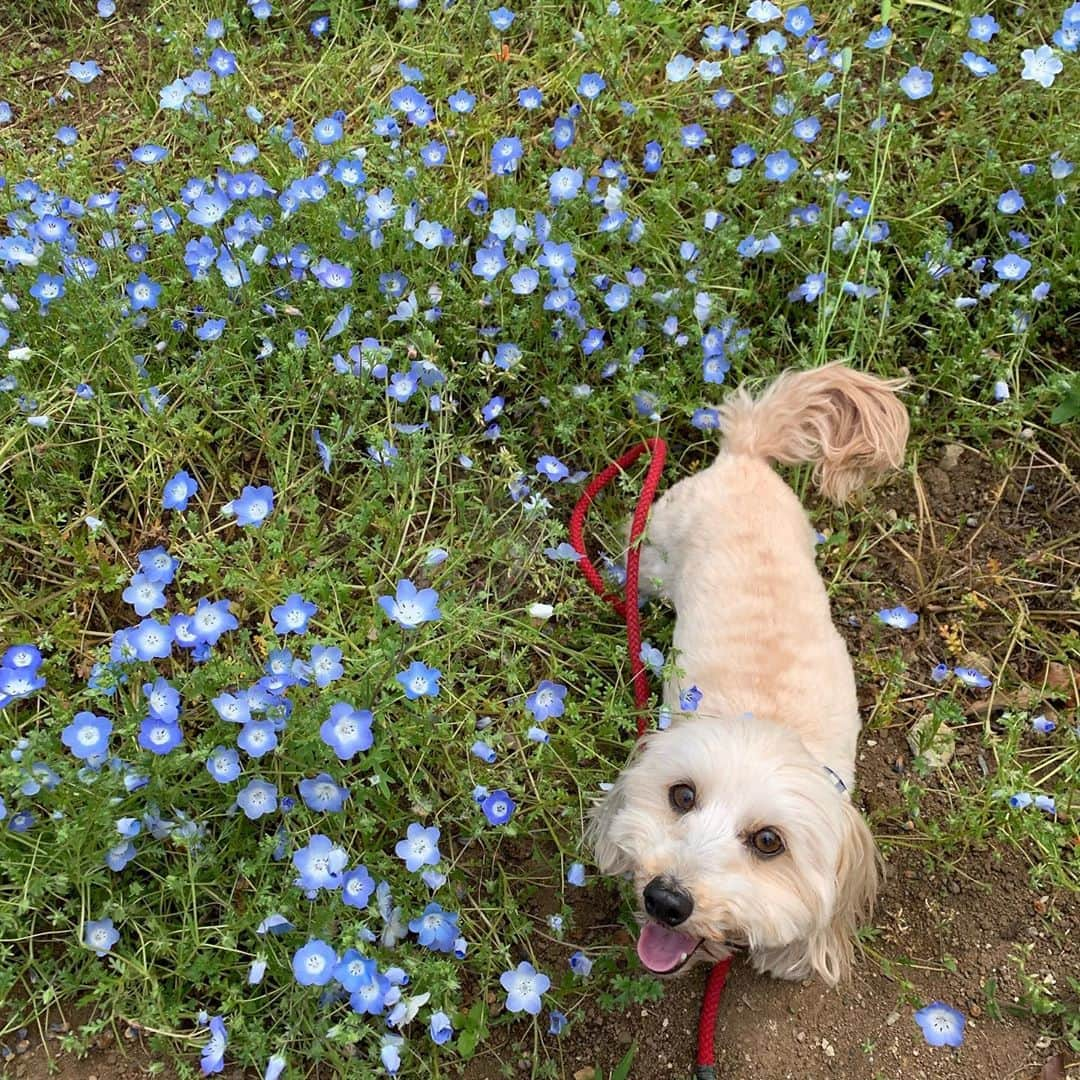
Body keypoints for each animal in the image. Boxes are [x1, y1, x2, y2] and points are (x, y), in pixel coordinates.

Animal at [587, 362, 907, 989]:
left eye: (768, 842)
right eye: (682, 795)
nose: (666, 899)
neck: (769, 718)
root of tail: (746, 453)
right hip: (658, 549)